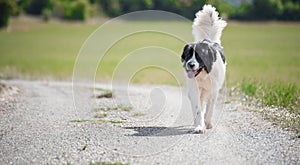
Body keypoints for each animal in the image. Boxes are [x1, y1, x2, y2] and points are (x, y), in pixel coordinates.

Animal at [180, 4, 227, 134]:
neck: (204, 74)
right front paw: (199, 126)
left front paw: (207, 123)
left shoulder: (214, 90)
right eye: (188, 55)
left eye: (199, 56)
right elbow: (197, 109)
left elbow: (210, 108)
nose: (190, 64)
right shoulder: (195, 89)